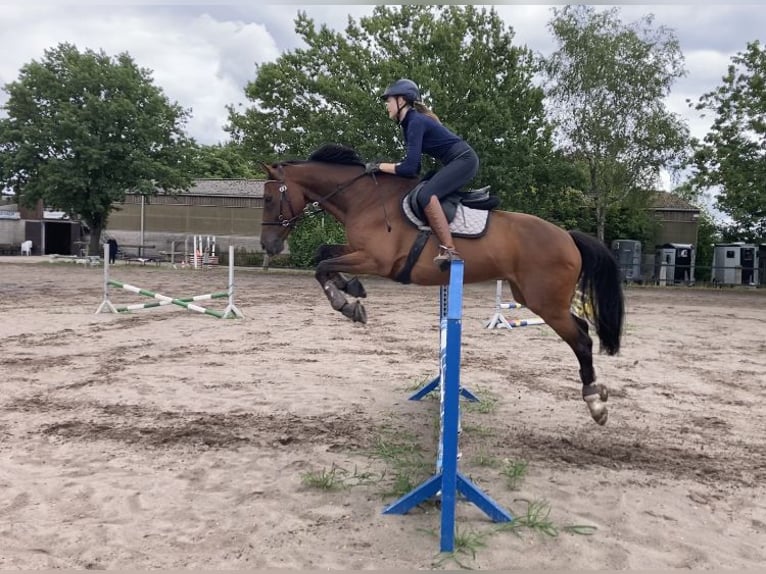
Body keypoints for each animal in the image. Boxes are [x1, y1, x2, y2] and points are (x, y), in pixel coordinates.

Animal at [260, 144, 628, 426]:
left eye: (267, 199)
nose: (268, 246)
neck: (364, 199)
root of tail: (568, 236)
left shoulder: (376, 261)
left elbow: (322, 266)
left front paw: (347, 304)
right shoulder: (357, 251)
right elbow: (324, 254)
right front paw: (353, 292)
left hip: (546, 303)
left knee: (581, 339)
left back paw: (595, 402)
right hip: (531, 296)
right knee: (581, 330)